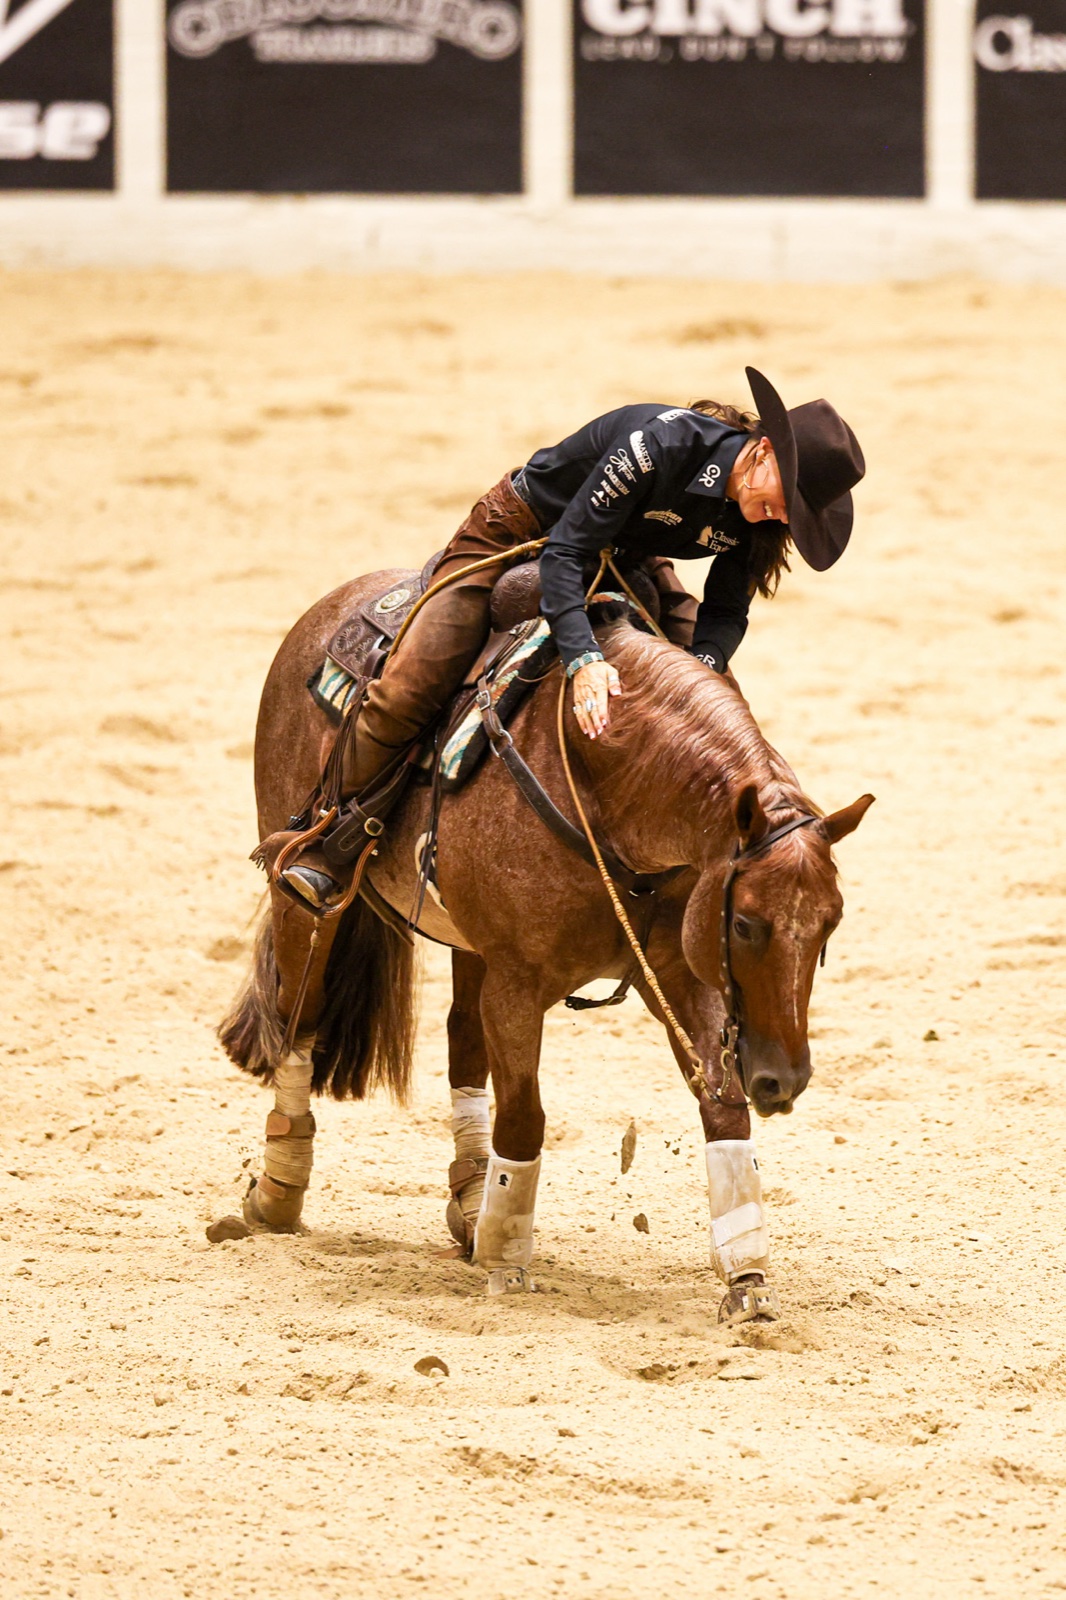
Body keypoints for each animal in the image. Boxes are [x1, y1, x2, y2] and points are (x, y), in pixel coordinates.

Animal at [219, 567, 873, 1321]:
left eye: (831, 922)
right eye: (743, 925)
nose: (784, 1079)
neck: (609, 790)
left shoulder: (678, 973)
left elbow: (723, 1105)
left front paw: (747, 1280)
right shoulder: (519, 983)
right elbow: (525, 1119)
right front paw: (508, 1265)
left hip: (468, 946)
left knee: (460, 1042)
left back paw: (471, 1199)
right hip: (304, 894)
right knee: (299, 1016)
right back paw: (278, 1191)